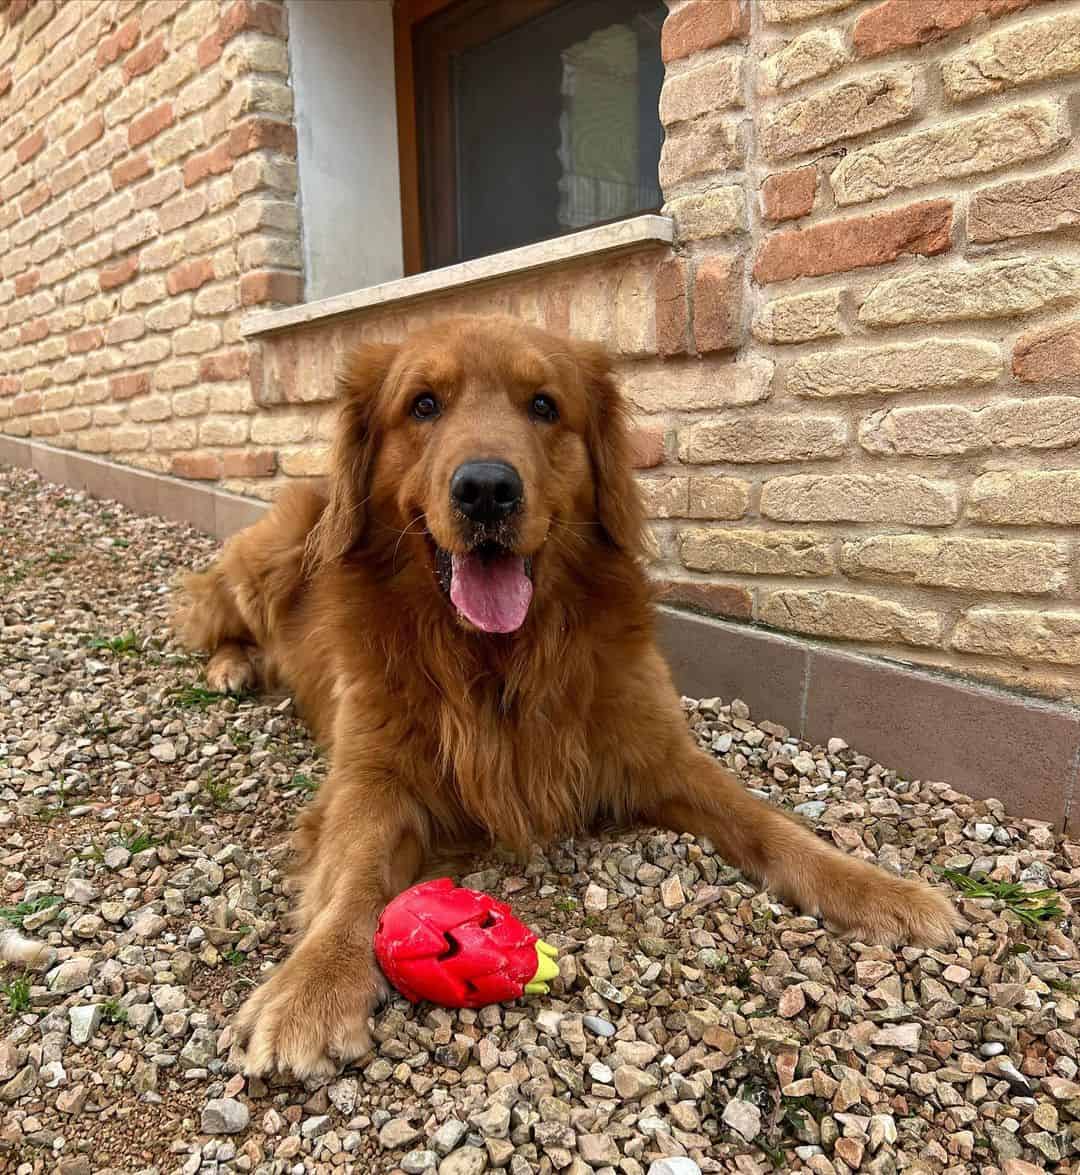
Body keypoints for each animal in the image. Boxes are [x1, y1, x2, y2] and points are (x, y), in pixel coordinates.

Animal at [172, 317, 958, 1076]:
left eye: (544, 406)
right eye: (422, 405)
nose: (486, 489)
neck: (496, 658)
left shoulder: (656, 748)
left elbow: (768, 823)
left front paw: (878, 889)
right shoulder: (371, 777)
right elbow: (354, 877)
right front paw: (314, 985)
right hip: (274, 552)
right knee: (214, 615)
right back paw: (231, 667)